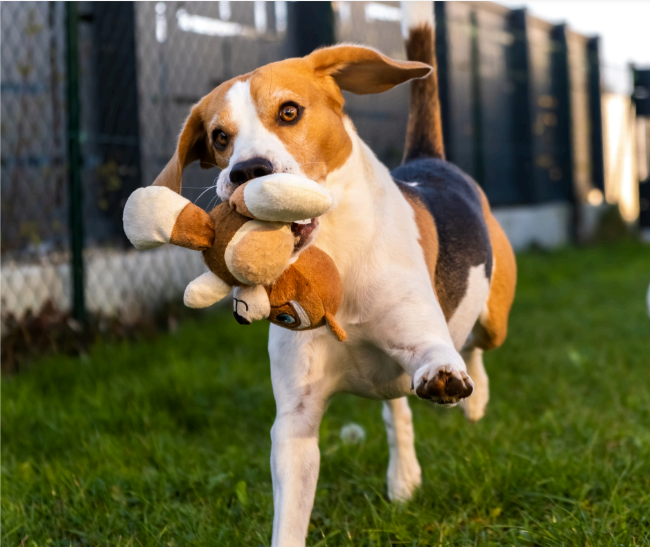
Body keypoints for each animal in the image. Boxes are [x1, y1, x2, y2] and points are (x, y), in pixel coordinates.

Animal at [148, 4, 516, 544]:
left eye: (289, 112)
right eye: (220, 137)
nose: (247, 171)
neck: (336, 258)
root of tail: (429, 161)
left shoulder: (421, 337)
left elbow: (437, 354)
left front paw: (450, 380)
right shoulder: (295, 423)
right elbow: (289, 513)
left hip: (493, 318)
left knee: (473, 344)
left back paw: (475, 400)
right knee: (397, 410)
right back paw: (404, 477)